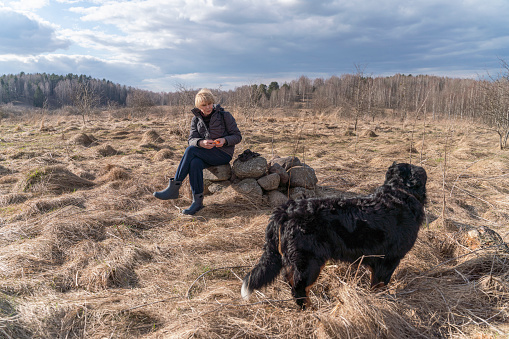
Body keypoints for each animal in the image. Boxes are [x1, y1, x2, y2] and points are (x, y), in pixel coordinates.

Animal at [240, 163, 426, 310]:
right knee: (299, 288)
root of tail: (284, 210)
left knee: (290, 279)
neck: (398, 192)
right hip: (310, 261)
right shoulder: (388, 260)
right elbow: (380, 286)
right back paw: (311, 310)